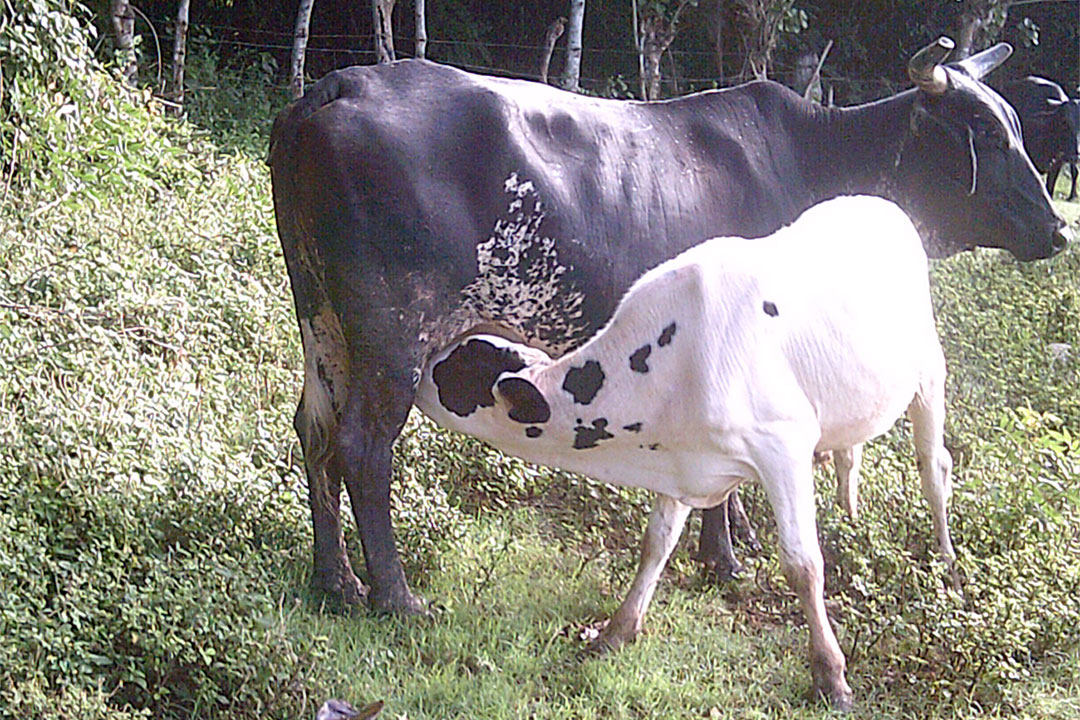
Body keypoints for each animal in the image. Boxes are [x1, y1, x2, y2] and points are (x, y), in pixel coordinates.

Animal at [267, 37, 1067, 617]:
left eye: (1017, 127)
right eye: (983, 134)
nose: (1058, 229)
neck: (818, 164)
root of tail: (340, 85)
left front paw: (737, 539)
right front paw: (728, 558)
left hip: (322, 322)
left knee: (314, 429)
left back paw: (335, 580)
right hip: (395, 333)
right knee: (362, 447)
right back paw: (394, 598)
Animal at [414, 195, 956, 710]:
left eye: (456, 369)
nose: (419, 364)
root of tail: (881, 205)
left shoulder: (782, 444)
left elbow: (802, 565)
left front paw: (831, 676)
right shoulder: (678, 455)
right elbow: (656, 542)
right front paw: (616, 630)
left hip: (929, 370)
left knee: (934, 466)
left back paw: (945, 557)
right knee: (850, 453)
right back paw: (851, 516)